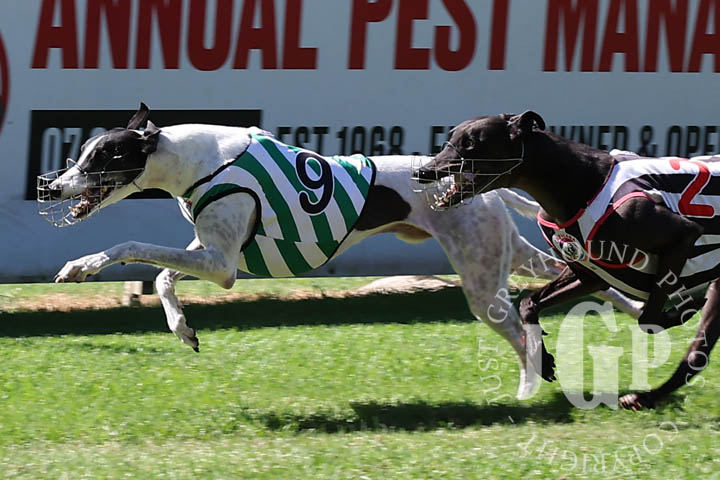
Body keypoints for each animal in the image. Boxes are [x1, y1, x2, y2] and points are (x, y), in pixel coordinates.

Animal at [39, 104, 641, 401]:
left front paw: (79, 266)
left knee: (522, 329)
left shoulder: (222, 266)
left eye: (99, 159)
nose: (51, 186)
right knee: (583, 275)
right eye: (81, 155)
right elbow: (163, 278)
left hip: (482, 285)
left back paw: (533, 384)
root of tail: (486, 187)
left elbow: (131, 245)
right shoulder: (209, 250)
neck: (193, 157)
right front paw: (183, 329)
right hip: (507, 254)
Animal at [415, 111, 720, 409]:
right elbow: (529, 303)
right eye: (451, 137)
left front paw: (681, 311)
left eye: (470, 142)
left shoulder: (683, 235)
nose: (422, 172)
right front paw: (543, 360)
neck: (582, 186)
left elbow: (648, 318)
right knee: (696, 357)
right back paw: (645, 398)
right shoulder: (590, 275)